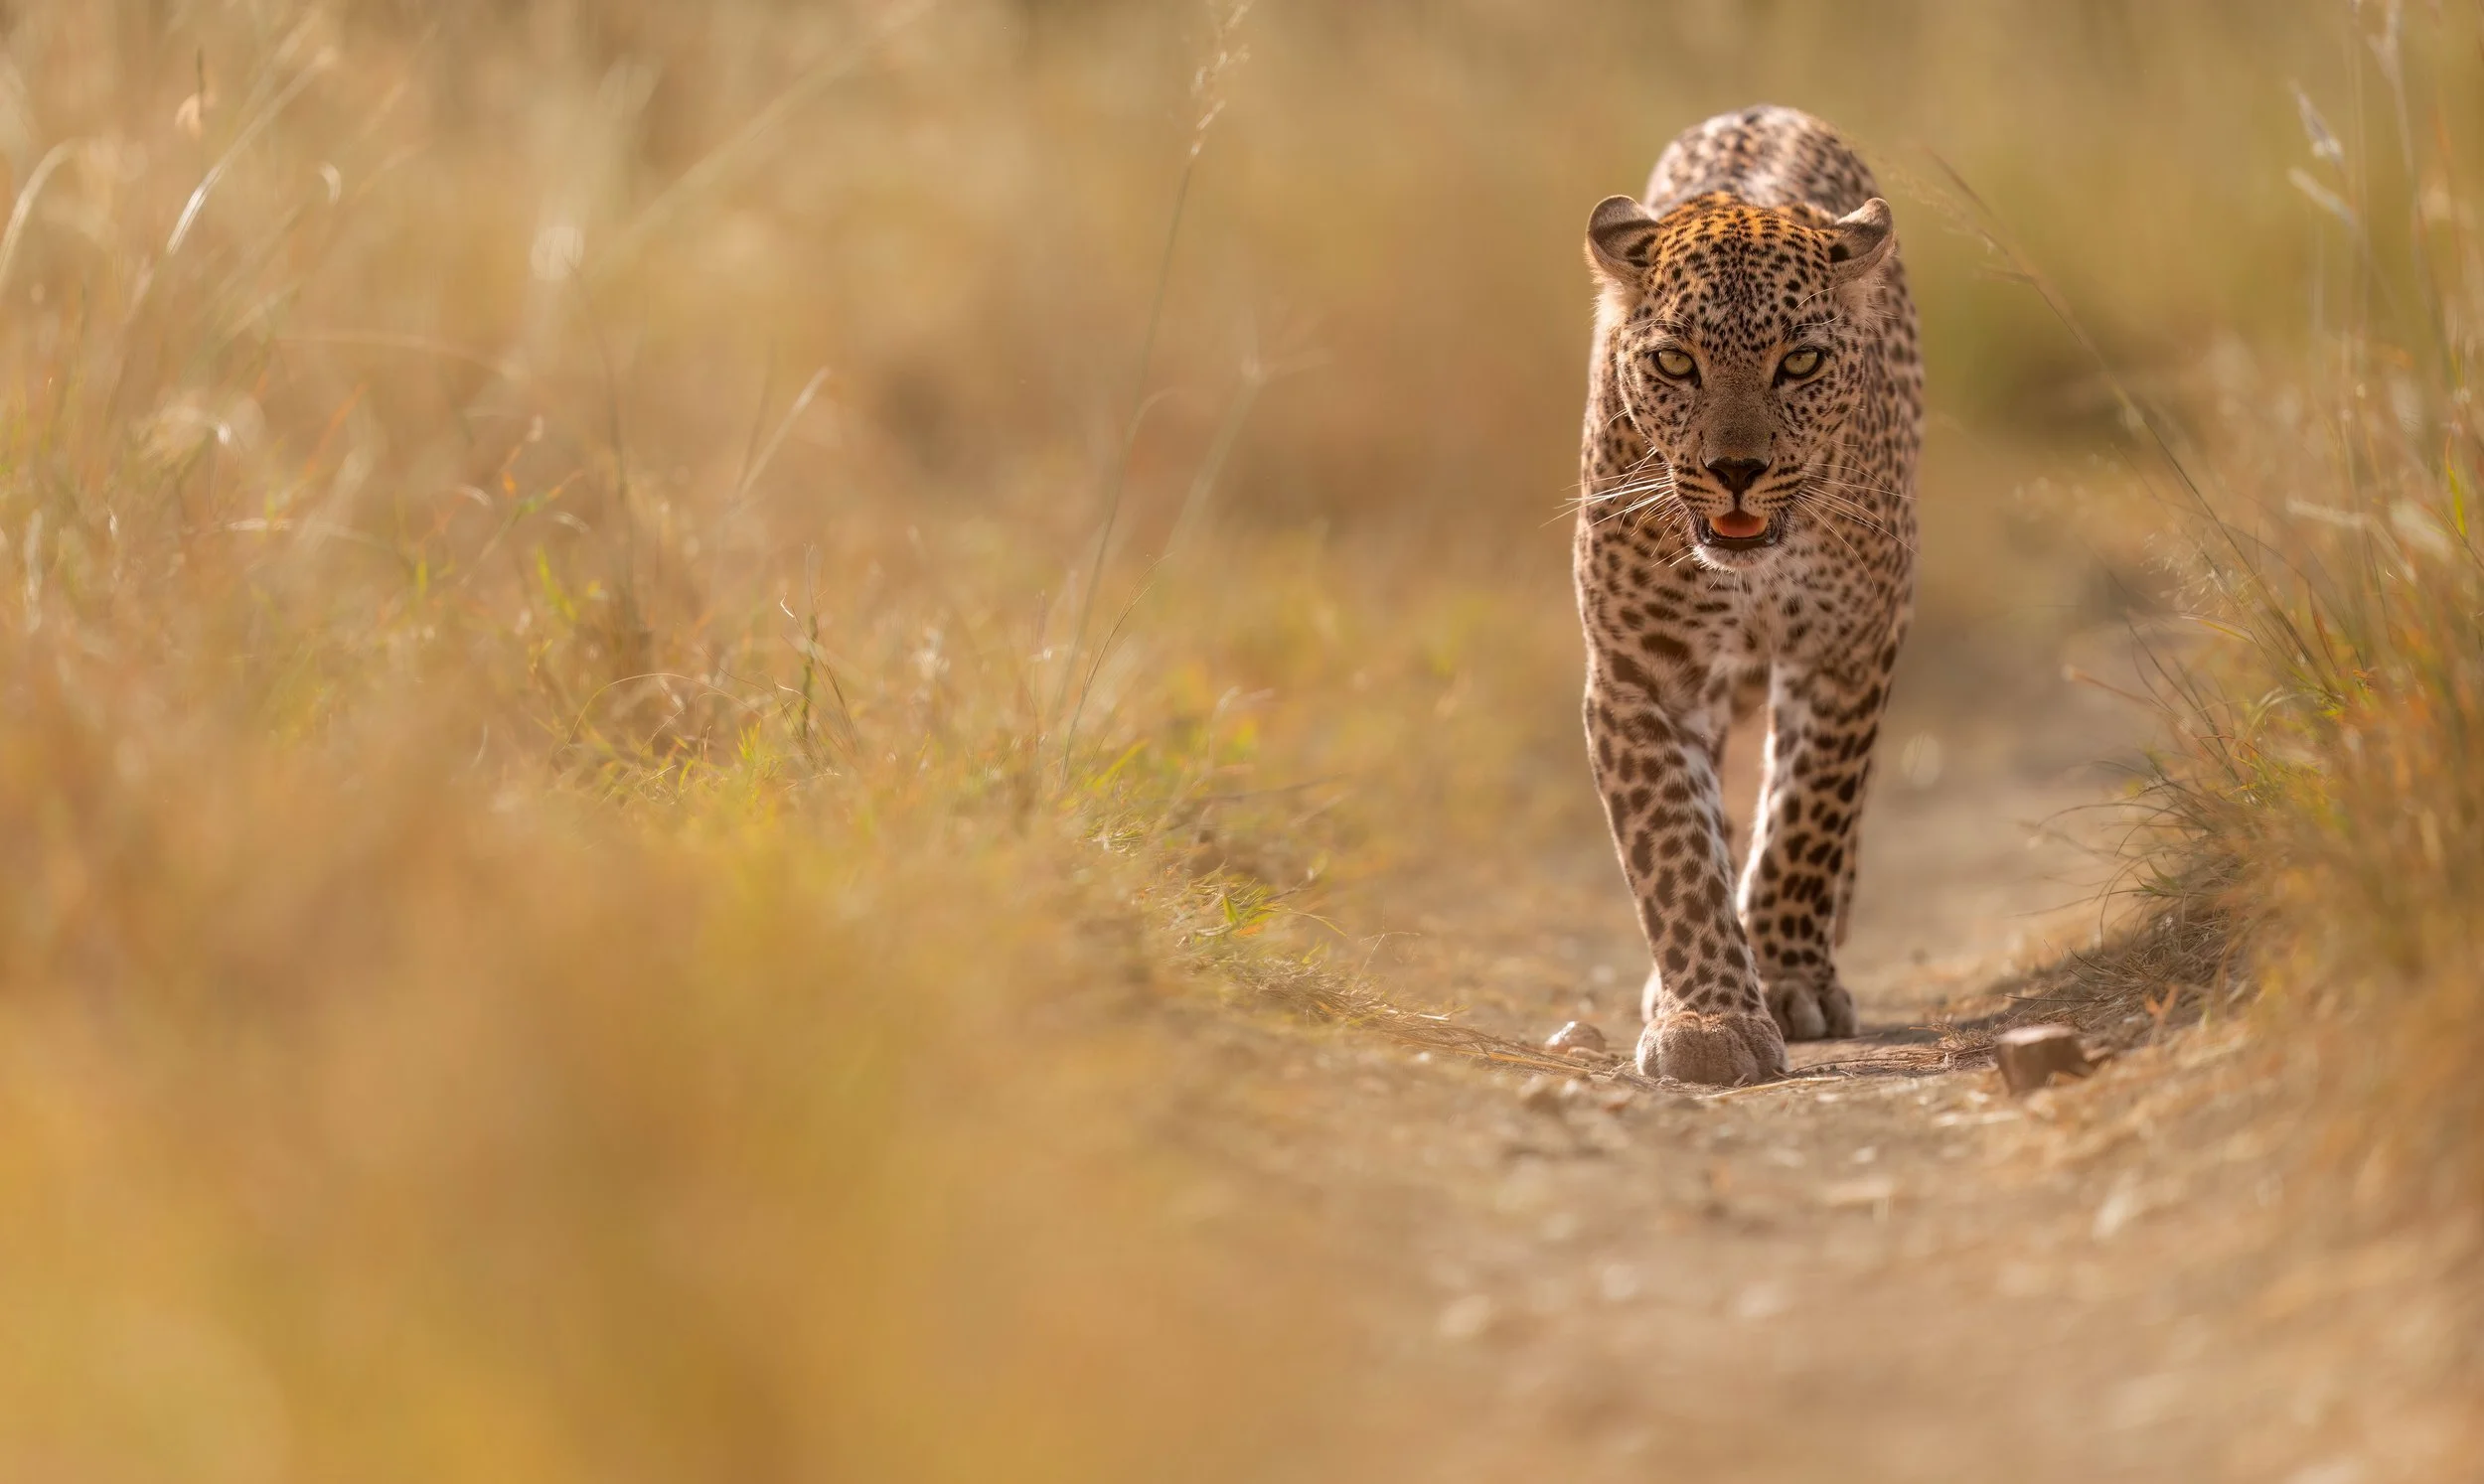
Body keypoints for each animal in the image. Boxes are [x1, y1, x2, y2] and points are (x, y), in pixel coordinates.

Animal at [1572, 105, 1922, 1086]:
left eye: (1800, 361)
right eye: (1674, 363)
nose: (1736, 470)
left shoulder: (1848, 649)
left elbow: (1809, 814)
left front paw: (1788, 976)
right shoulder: (1643, 672)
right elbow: (1674, 850)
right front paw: (1707, 1015)